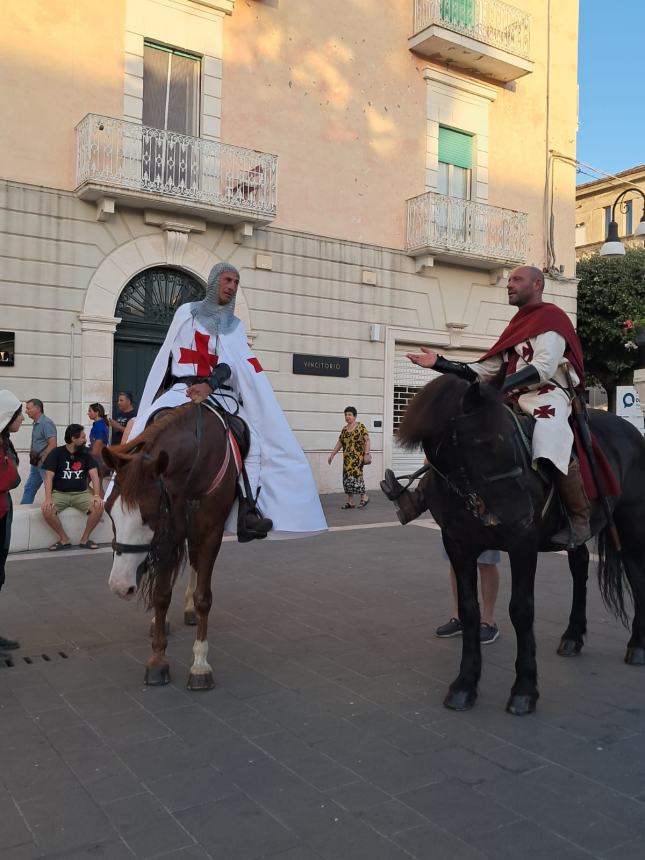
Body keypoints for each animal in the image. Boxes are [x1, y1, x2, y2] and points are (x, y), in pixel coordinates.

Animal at [102, 404, 236, 692]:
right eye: (108, 511)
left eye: (149, 515)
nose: (119, 585)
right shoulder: (169, 533)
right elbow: (161, 595)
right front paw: (158, 659)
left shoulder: (210, 532)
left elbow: (204, 597)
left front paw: (200, 665)